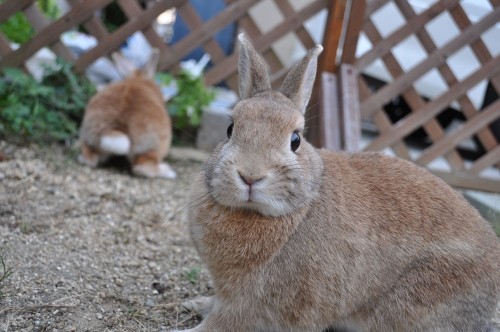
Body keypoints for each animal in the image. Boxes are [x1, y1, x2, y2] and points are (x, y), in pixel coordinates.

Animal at [79, 48, 177, 179]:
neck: (138, 79)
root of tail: (116, 128)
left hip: (91, 141)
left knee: (90, 159)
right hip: (154, 147)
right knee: (143, 168)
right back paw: (168, 172)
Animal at [174, 34, 498, 332]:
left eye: (296, 140)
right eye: (230, 129)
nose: (250, 175)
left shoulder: (248, 304)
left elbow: (219, 323)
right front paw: (195, 303)